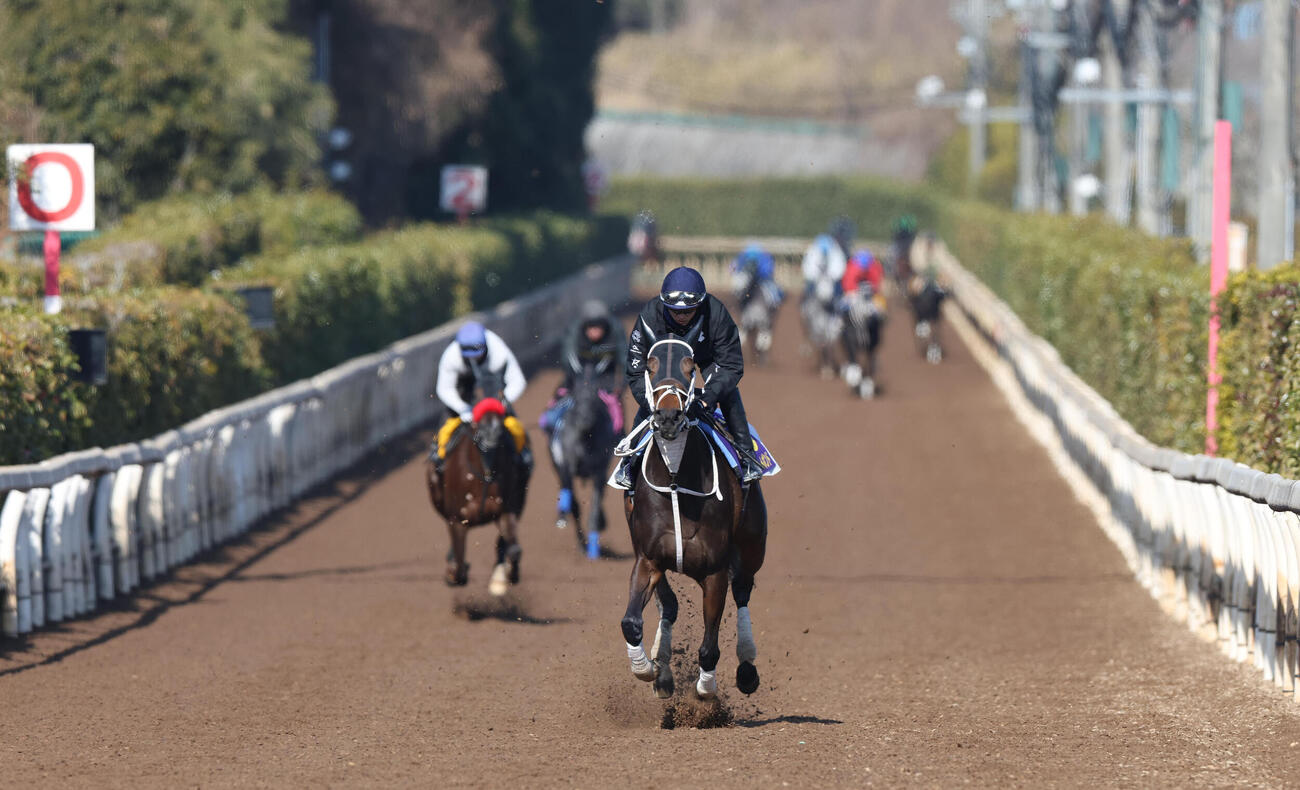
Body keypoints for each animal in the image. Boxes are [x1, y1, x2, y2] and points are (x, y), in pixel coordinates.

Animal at [425, 369, 530, 596]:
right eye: (477, 396)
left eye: (500, 395)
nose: (491, 433)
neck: (485, 473)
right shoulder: (457, 519)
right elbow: (459, 567)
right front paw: (452, 571)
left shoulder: (505, 509)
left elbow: (514, 549)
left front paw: (507, 575)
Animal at [548, 357, 619, 557]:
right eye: (577, 395)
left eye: (595, 393)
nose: (585, 419)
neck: (585, 439)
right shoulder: (566, 466)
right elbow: (573, 503)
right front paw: (581, 541)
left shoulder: (600, 470)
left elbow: (595, 504)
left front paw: (593, 546)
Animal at [617, 338, 768, 700]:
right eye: (651, 366)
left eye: (690, 367)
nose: (668, 417)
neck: (675, 480)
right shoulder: (648, 560)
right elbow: (632, 622)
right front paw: (647, 668)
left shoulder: (714, 572)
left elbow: (709, 648)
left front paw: (706, 690)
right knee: (669, 606)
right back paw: (662, 670)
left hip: (753, 545)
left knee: (743, 590)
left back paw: (746, 668)